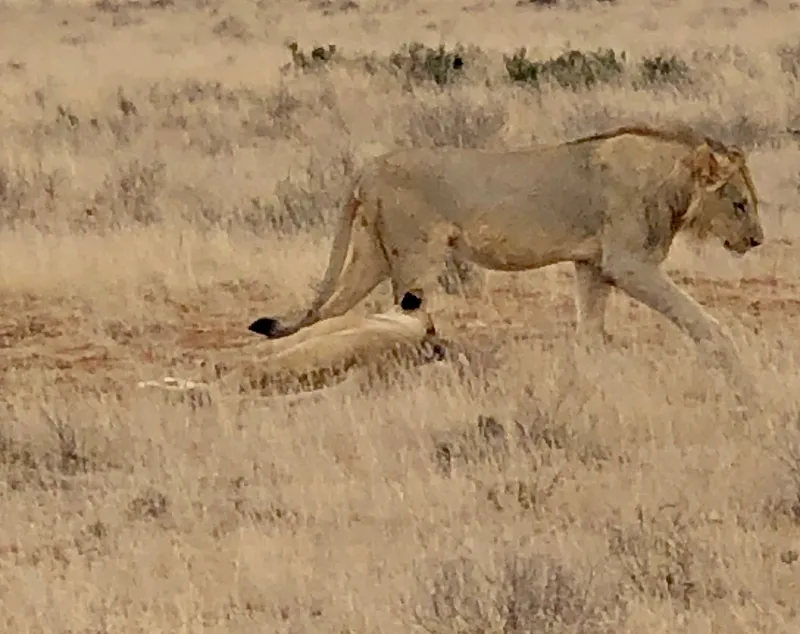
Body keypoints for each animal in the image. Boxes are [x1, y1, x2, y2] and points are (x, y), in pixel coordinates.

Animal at [248, 124, 764, 396]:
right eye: (740, 204)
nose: (758, 240)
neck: (671, 183)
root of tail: (366, 168)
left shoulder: (593, 265)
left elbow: (590, 329)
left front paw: (588, 374)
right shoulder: (628, 264)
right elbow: (697, 316)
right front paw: (733, 365)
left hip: (371, 255)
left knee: (329, 314)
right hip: (416, 256)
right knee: (407, 314)